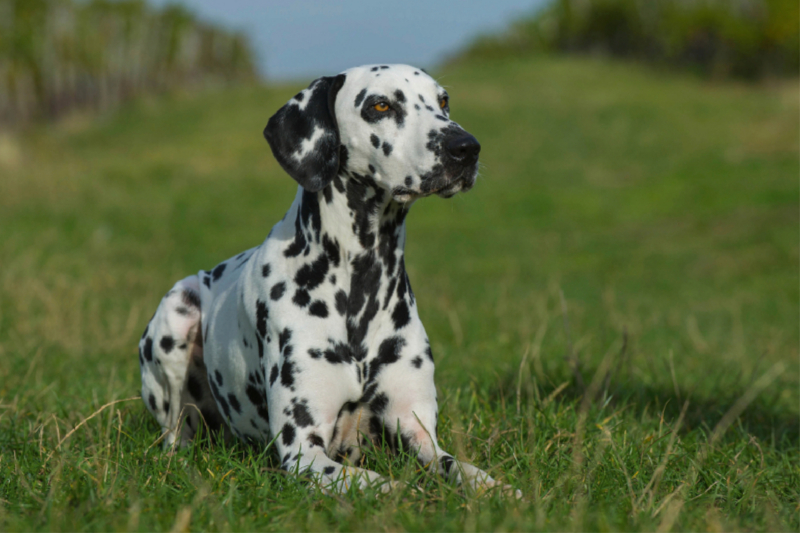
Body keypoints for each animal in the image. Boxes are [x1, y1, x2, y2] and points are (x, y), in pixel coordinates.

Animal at [140, 64, 520, 496]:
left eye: (443, 101)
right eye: (380, 105)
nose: (466, 147)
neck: (361, 284)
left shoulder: (419, 433)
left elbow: (463, 469)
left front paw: (499, 490)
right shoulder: (304, 454)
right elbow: (387, 486)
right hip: (176, 314)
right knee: (176, 434)